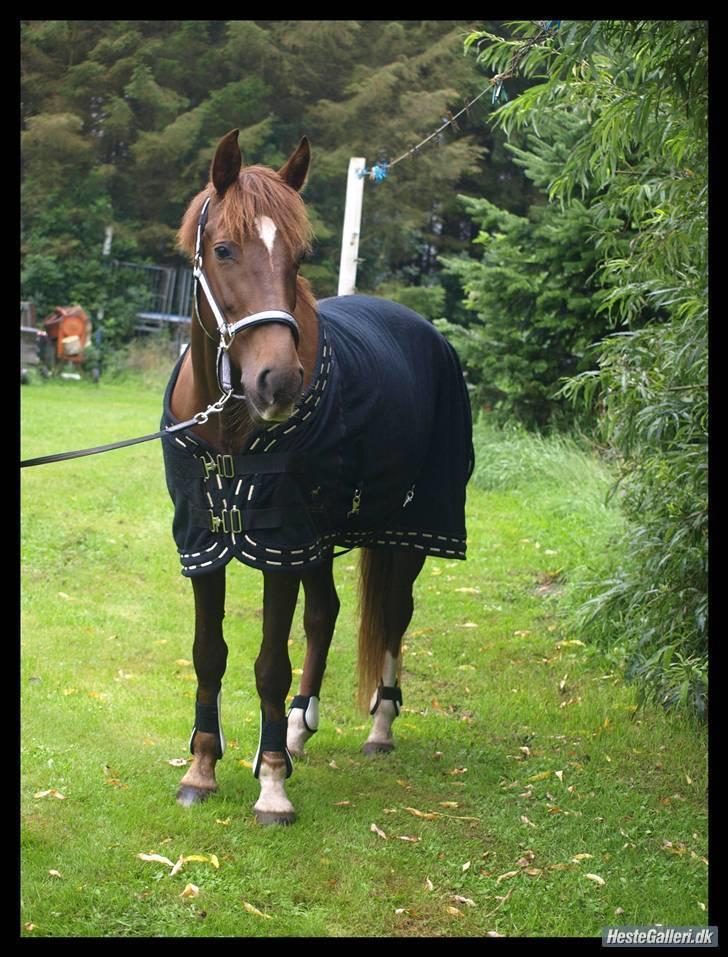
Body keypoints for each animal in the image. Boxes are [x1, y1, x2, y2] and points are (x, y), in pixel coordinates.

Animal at [161, 129, 473, 824]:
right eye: (223, 249)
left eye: (300, 256)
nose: (277, 383)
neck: (229, 426)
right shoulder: (207, 543)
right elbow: (209, 654)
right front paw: (203, 769)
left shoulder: (280, 543)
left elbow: (268, 664)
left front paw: (272, 785)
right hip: (323, 536)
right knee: (325, 613)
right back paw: (299, 729)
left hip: (408, 529)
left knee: (395, 614)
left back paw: (378, 727)